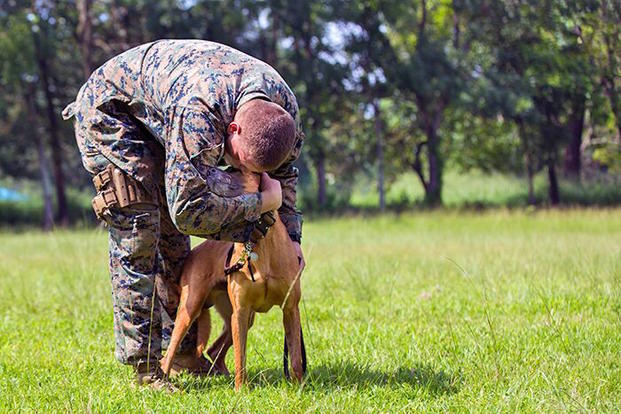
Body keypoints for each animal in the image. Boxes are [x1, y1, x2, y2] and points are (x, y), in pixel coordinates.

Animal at [160, 171, 306, 388]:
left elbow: (295, 357)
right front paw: (241, 390)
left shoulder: (290, 309)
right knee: (169, 354)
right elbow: (240, 358)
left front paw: (298, 387)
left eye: (231, 173)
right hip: (191, 309)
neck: (261, 242)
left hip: (236, 316)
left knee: (213, 350)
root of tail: (194, 252)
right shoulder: (240, 312)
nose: (200, 179)